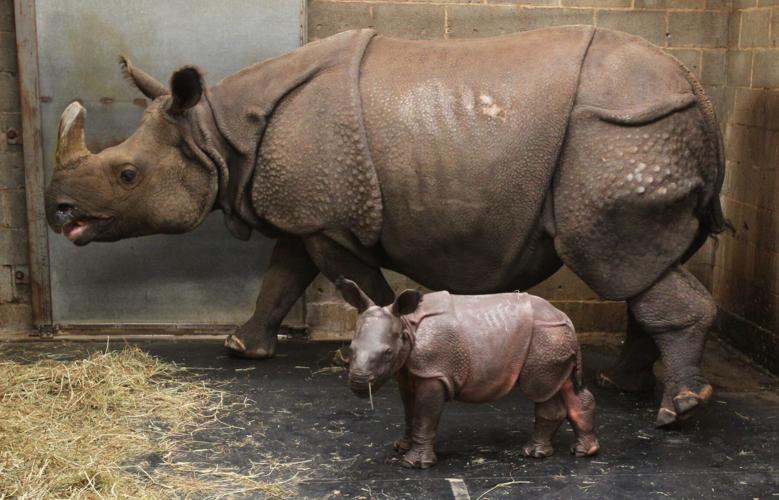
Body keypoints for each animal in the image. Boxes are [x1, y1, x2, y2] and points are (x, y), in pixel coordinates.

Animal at [45, 26, 728, 427]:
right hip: (646, 133)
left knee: (615, 259)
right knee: (647, 264)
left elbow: (359, 284)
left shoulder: (328, 219)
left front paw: (375, 349)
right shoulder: (306, 213)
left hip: (621, 135)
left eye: (127, 175)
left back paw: (677, 411)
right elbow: (281, 278)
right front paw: (243, 347)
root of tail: (700, 89)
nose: (57, 210)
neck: (216, 134)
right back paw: (626, 386)